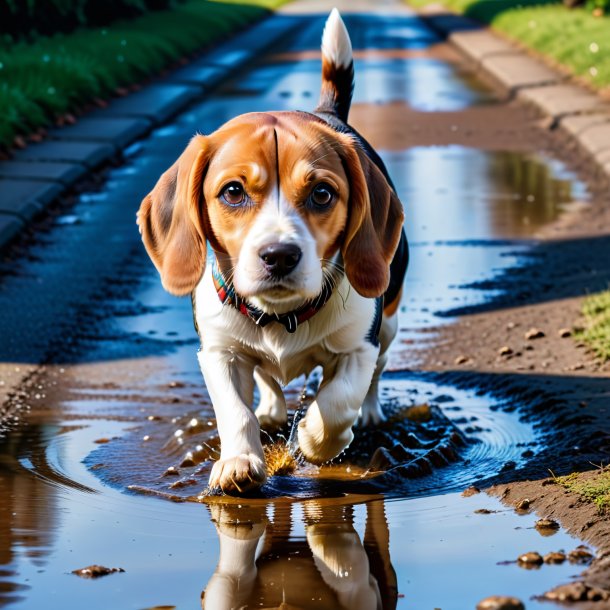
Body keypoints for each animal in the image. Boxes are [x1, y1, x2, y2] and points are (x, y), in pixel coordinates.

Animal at [135, 8, 406, 494]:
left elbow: (337, 402)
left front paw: (315, 439)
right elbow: (233, 411)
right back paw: (272, 410)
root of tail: (325, 113)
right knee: (267, 379)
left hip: (389, 321)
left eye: (321, 194)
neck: (283, 317)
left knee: (378, 370)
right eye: (233, 192)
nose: (279, 255)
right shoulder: (218, 352)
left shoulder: (358, 347)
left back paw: (370, 412)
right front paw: (239, 461)